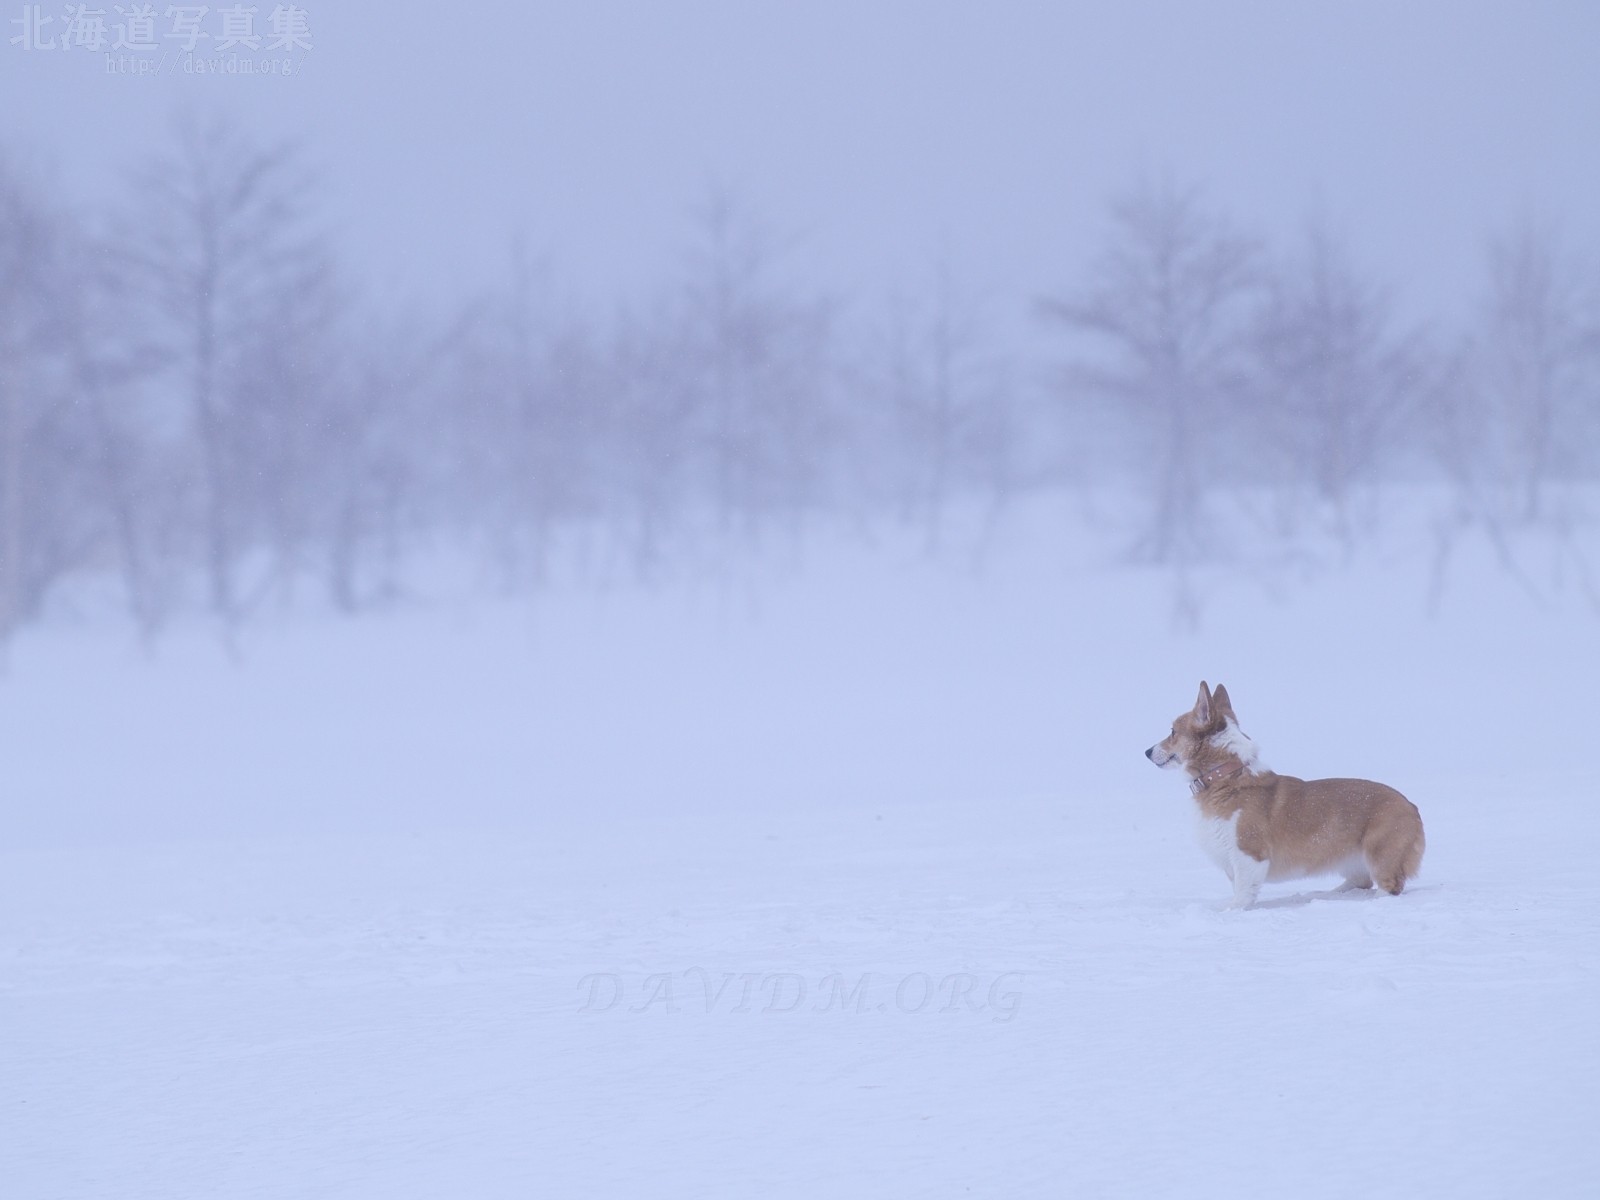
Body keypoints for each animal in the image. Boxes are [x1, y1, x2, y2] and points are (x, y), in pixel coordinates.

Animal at [1152, 684, 1427, 908]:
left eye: (1172, 732)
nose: (1147, 751)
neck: (1226, 776)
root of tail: (1412, 806)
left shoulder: (1248, 855)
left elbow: (1242, 894)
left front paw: (1230, 912)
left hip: (1379, 854)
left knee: (1388, 887)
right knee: (1360, 882)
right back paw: (1326, 895)